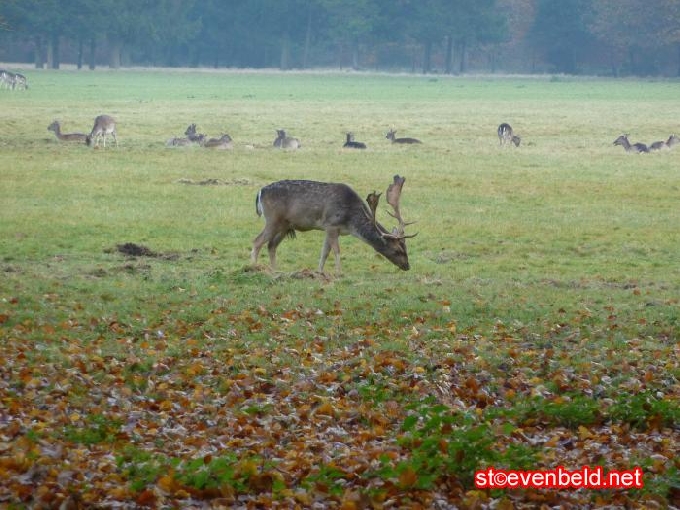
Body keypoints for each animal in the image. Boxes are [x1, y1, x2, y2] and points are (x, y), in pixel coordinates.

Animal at [251, 174, 414, 272]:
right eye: (397, 250)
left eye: (406, 249)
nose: (407, 266)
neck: (350, 221)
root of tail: (260, 192)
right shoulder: (331, 224)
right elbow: (336, 251)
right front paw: (339, 273)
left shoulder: (329, 229)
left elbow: (324, 252)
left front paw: (319, 272)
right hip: (272, 219)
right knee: (257, 241)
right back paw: (253, 267)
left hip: (285, 225)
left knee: (271, 245)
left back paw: (275, 271)